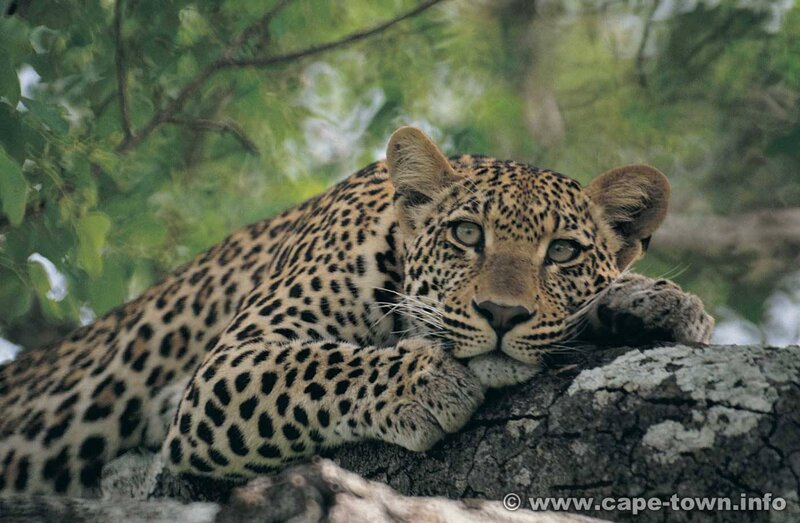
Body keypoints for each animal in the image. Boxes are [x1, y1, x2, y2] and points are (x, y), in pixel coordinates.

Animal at [0, 126, 713, 496]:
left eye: (562, 251)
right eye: (466, 235)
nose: (501, 314)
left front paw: (657, 301)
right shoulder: (226, 368)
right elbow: (315, 367)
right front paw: (424, 383)